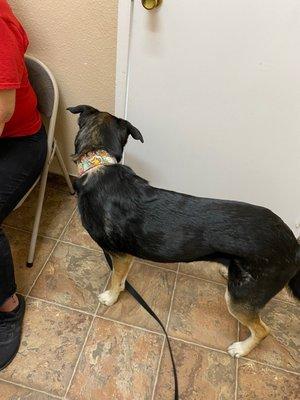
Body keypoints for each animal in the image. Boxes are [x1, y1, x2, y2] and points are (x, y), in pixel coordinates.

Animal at [68, 104, 300, 358]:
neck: (97, 162)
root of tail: (294, 245)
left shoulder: (120, 255)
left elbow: (116, 279)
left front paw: (110, 297)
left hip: (241, 297)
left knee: (263, 330)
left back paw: (241, 348)